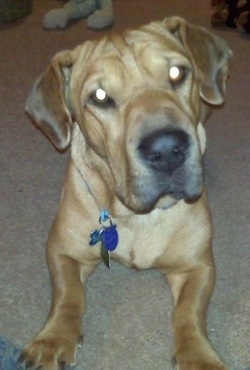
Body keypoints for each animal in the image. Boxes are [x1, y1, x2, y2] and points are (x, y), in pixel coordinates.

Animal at [20, 16, 232, 368]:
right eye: (100, 96)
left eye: (177, 73)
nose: (167, 149)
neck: (136, 215)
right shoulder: (61, 249)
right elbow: (68, 293)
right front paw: (53, 339)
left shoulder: (197, 265)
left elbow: (189, 312)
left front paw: (198, 356)